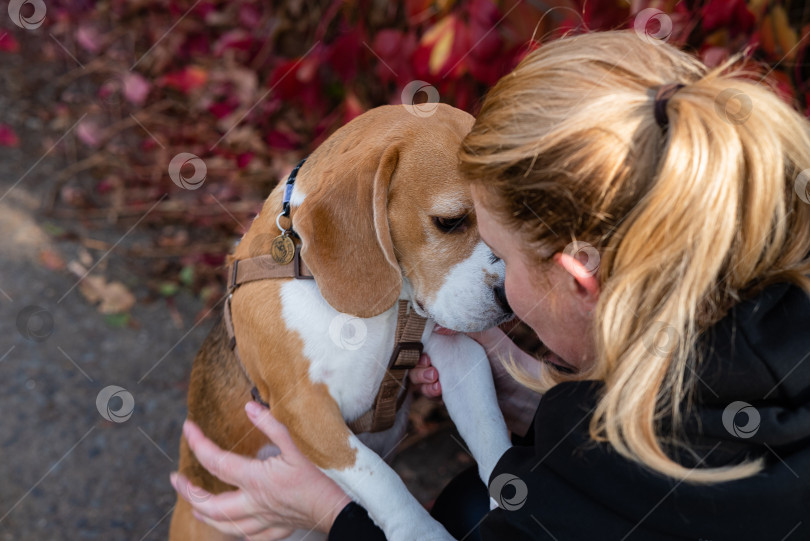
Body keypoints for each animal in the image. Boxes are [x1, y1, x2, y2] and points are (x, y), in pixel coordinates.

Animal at [169, 104, 512, 540]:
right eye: (449, 222)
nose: (510, 299)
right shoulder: (304, 407)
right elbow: (380, 478)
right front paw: (425, 534)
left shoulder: (459, 353)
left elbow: (490, 430)